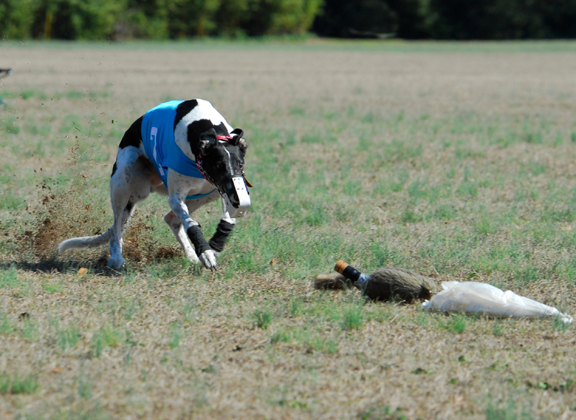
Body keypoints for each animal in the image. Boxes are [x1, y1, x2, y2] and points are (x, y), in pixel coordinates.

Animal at [56, 98, 252, 270]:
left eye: (241, 165)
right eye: (218, 165)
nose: (237, 198)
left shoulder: (219, 189)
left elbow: (227, 218)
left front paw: (215, 246)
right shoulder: (176, 197)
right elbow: (191, 223)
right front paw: (206, 253)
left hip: (202, 194)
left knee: (171, 219)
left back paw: (191, 254)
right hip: (122, 181)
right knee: (116, 228)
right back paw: (117, 258)